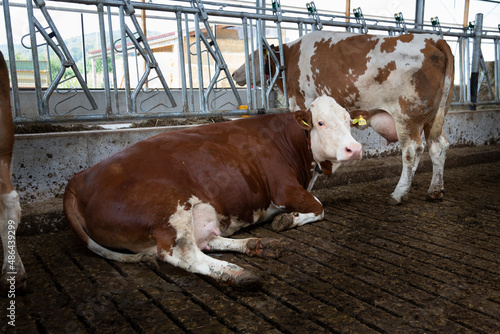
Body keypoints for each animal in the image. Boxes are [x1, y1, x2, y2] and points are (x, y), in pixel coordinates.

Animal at [232, 30, 456, 205]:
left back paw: (398, 194)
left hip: (408, 116)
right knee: (438, 146)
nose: (234, 74)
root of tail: (432, 40)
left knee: (412, 151)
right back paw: (435, 191)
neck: (290, 57)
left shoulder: (303, 101)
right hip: (434, 116)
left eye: (251, 58)